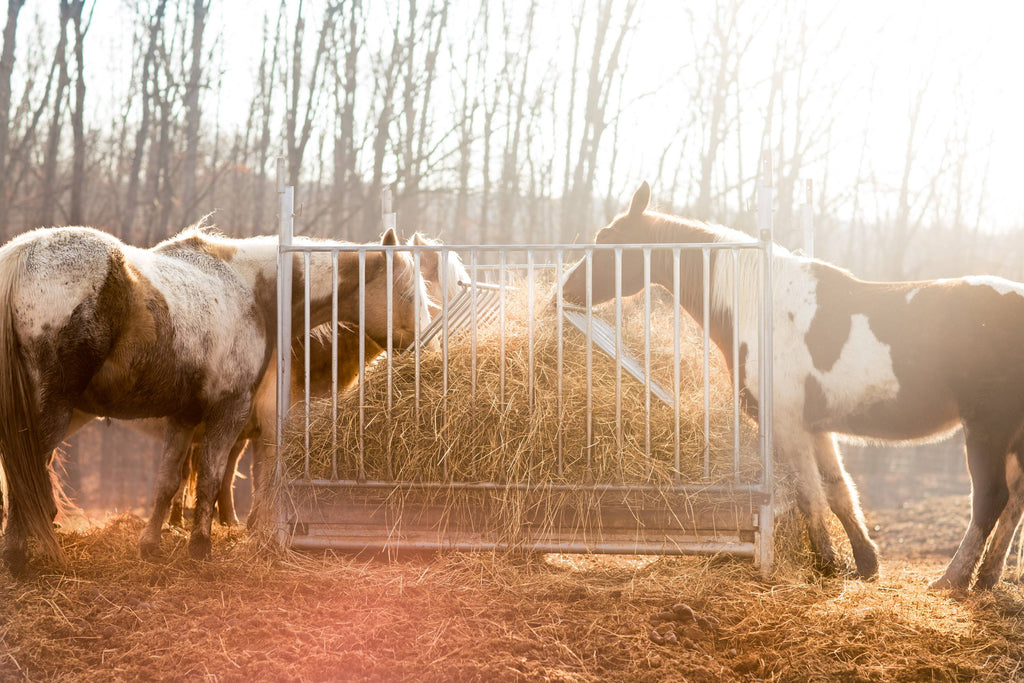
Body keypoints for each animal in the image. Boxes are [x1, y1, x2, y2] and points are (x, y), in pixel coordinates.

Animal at [0, 223, 428, 573]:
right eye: (408, 295)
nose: (426, 345)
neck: (252, 290)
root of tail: (21, 255)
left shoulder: (185, 416)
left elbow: (168, 481)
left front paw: (151, 545)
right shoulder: (230, 411)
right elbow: (210, 477)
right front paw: (200, 546)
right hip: (54, 411)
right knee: (27, 474)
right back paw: (19, 553)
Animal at [565, 183, 1024, 593]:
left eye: (606, 241)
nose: (566, 289)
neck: (760, 307)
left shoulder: (788, 425)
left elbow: (810, 496)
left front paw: (827, 563)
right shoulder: (817, 428)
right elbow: (839, 492)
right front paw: (865, 563)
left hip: (986, 429)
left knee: (990, 499)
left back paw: (953, 579)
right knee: (1015, 500)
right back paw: (987, 578)